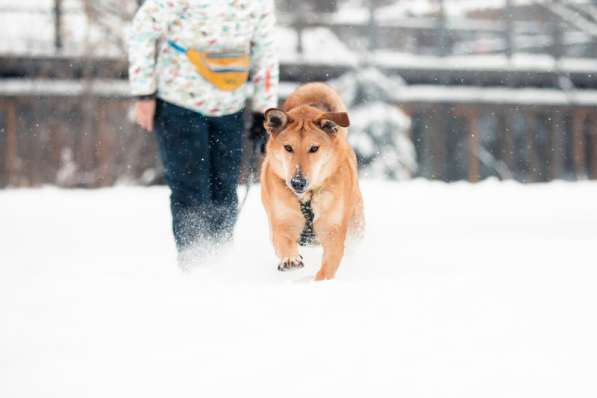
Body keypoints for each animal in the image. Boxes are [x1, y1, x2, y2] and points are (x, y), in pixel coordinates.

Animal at [260, 81, 364, 280]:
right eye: (288, 147)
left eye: (314, 148)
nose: (297, 182)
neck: (307, 198)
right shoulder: (281, 222)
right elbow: (284, 241)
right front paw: (290, 259)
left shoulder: (334, 231)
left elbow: (329, 264)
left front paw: (319, 282)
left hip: (356, 224)